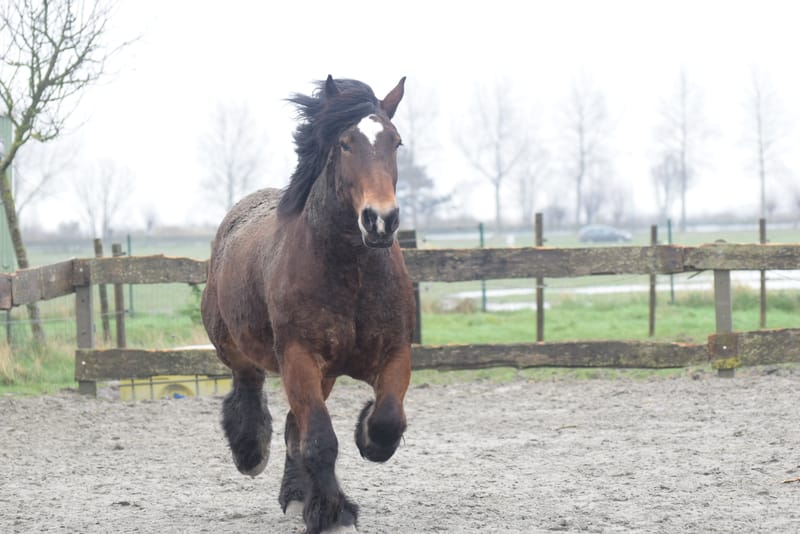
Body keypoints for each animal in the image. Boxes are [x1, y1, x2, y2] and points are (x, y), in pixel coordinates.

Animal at [201, 75, 415, 534]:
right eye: (345, 143)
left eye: (396, 142)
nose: (380, 220)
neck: (350, 272)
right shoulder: (298, 357)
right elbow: (319, 440)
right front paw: (334, 513)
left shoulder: (394, 352)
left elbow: (388, 420)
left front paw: (366, 433)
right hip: (237, 348)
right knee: (250, 389)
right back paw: (251, 451)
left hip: (326, 375)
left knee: (291, 425)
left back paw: (297, 494)